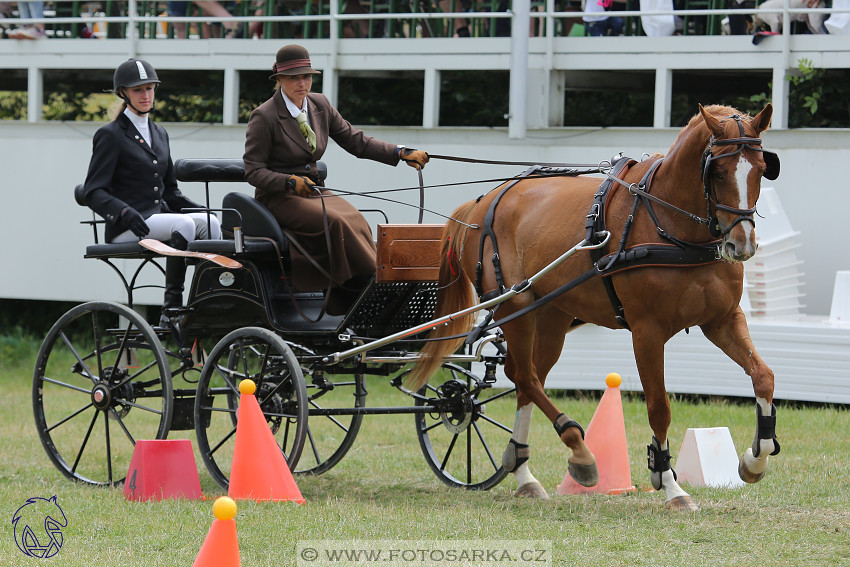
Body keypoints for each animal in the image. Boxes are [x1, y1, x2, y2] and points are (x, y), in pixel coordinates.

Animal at [410, 104, 780, 512]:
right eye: (717, 172)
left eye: (762, 167)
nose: (741, 244)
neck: (671, 225)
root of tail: (480, 204)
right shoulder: (647, 332)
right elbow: (659, 407)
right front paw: (670, 483)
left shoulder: (722, 320)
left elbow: (763, 376)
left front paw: (754, 460)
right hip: (515, 308)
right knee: (523, 375)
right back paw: (580, 452)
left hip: (552, 318)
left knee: (527, 377)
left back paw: (524, 471)